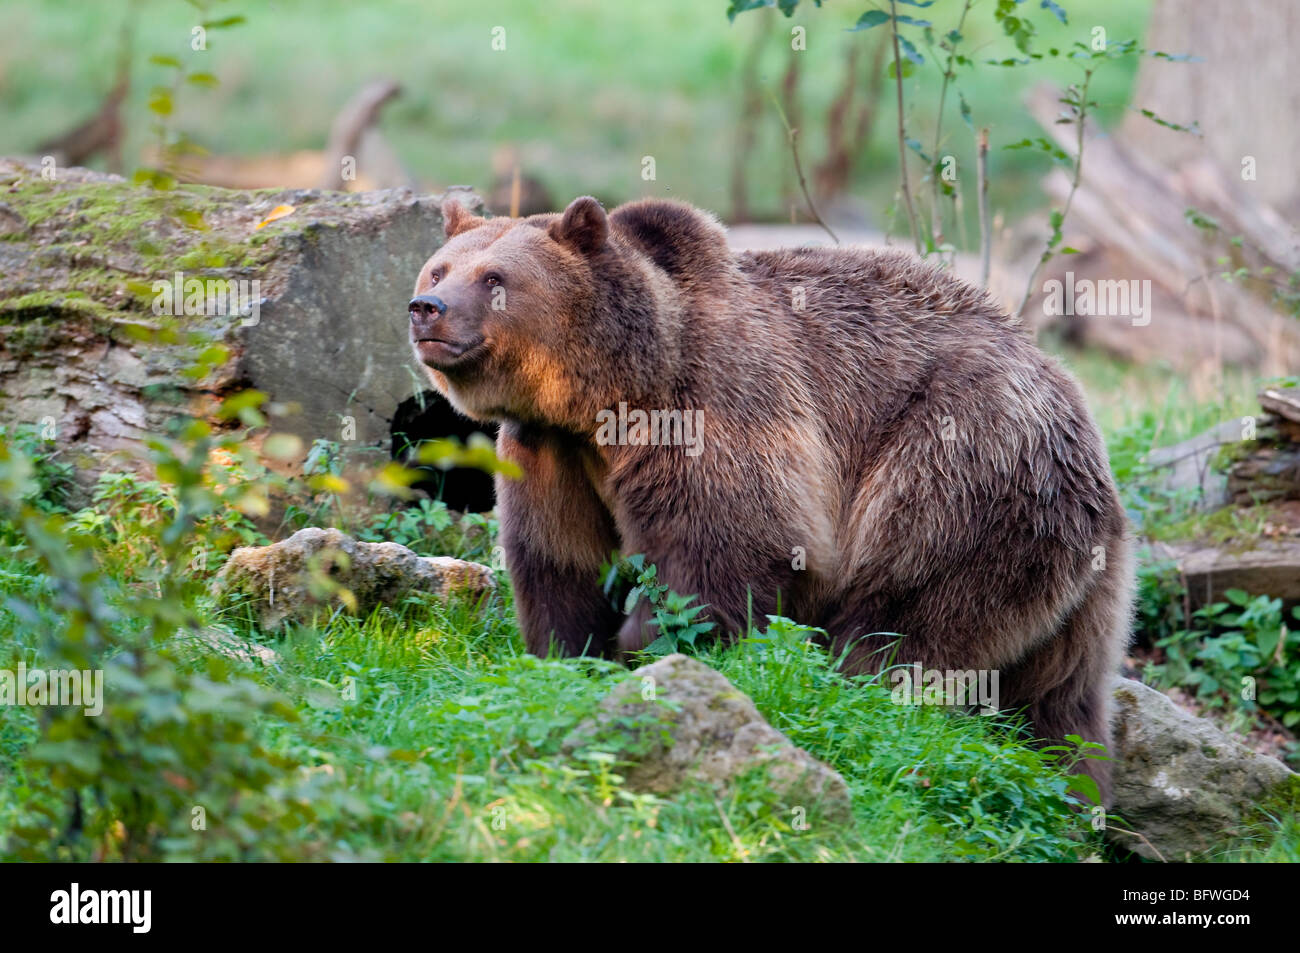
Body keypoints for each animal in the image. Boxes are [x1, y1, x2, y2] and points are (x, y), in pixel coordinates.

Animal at [409, 195, 1134, 804]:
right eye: (438, 267)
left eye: (495, 278)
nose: (426, 308)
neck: (605, 398)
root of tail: (1077, 408)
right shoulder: (550, 453)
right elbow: (561, 564)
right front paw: (571, 655)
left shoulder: (712, 409)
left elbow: (719, 551)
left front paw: (651, 650)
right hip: (1077, 591)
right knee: (1061, 700)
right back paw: (1073, 791)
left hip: (958, 468)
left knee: (898, 618)